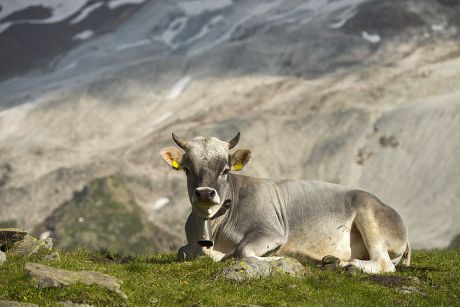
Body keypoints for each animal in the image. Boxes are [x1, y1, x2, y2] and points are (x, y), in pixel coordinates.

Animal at [161, 132, 410, 274]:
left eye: (225, 170)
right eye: (187, 169)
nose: (205, 193)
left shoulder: (271, 232)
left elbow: (244, 251)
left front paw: (280, 258)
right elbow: (182, 252)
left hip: (368, 214)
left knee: (384, 264)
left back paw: (349, 265)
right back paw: (333, 261)